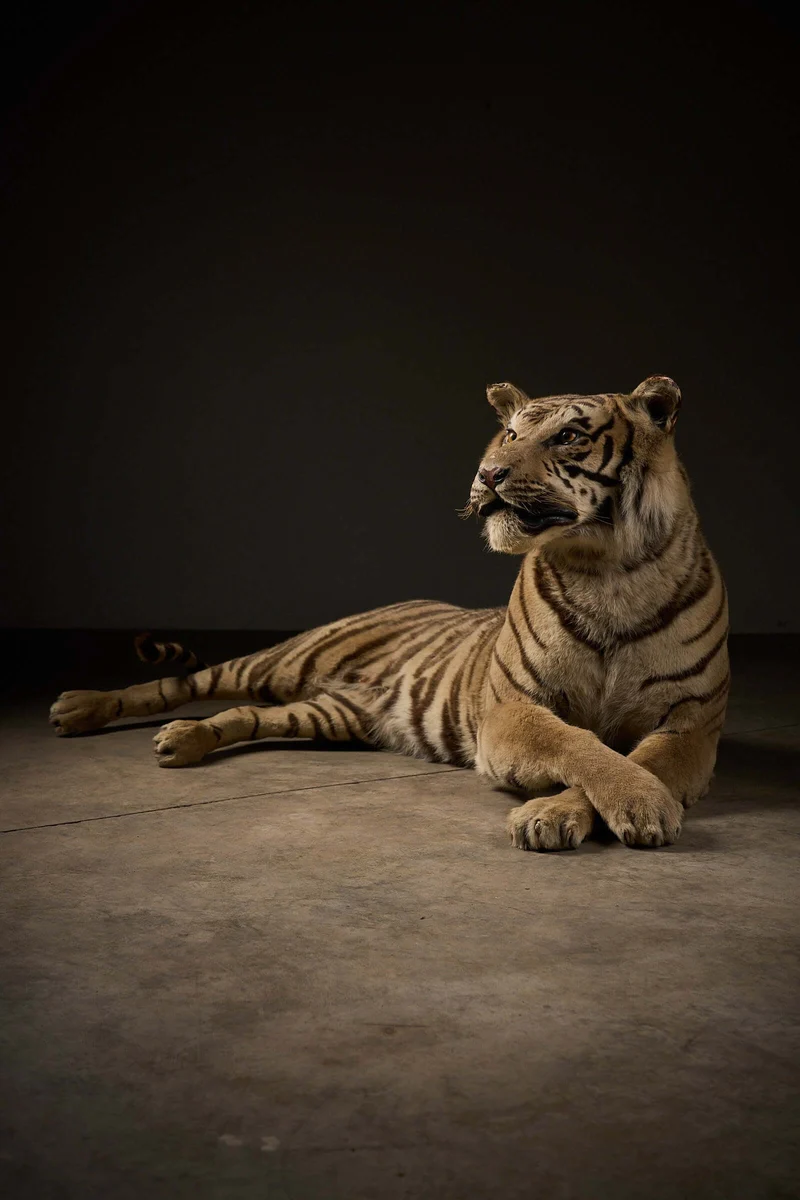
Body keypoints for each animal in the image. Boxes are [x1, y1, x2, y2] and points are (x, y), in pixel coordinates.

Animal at [49, 375, 729, 852]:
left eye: (568, 436)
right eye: (511, 434)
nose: (489, 473)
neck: (607, 569)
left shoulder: (689, 724)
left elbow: (629, 760)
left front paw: (572, 810)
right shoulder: (513, 708)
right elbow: (581, 745)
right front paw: (623, 803)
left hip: (330, 713)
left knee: (246, 715)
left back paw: (184, 741)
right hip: (284, 661)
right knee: (184, 682)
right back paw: (81, 708)